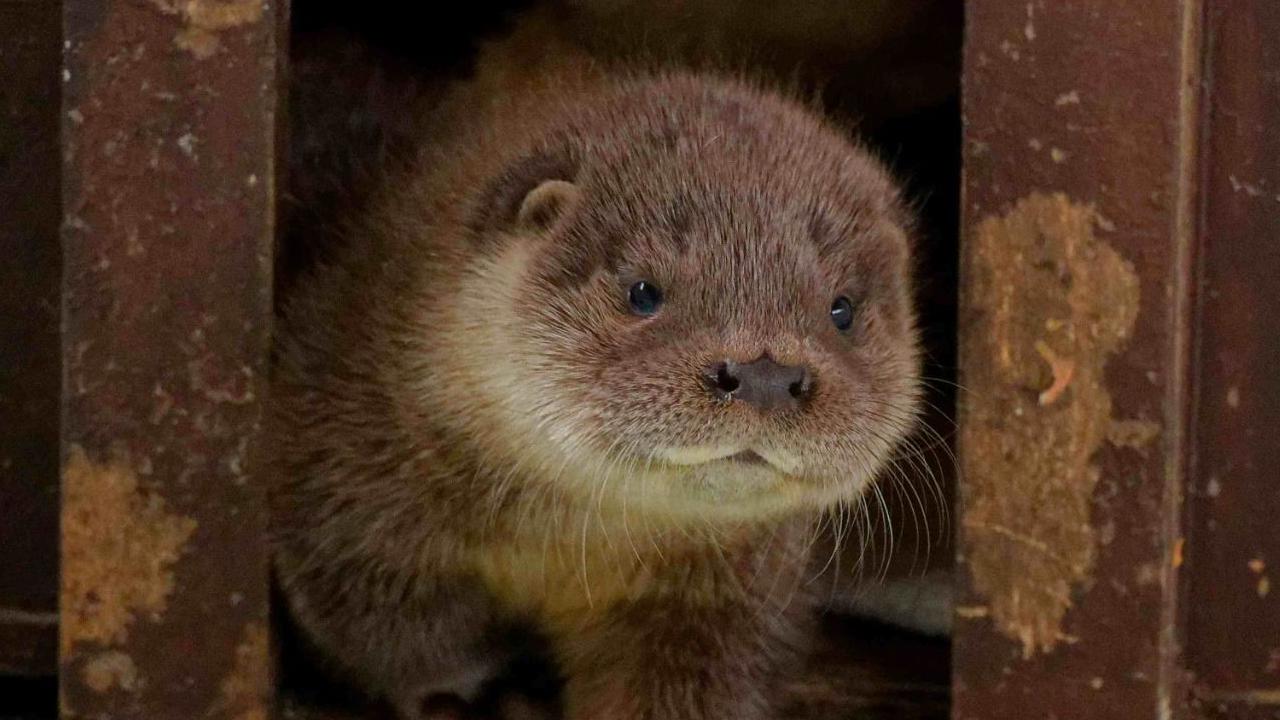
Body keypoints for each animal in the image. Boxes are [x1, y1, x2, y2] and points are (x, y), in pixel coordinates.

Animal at [273, 20, 922, 720]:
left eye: (842, 310)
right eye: (643, 291)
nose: (764, 374)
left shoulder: (722, 597)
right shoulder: (343, 475)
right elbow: (390, 623)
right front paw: (463, 691)